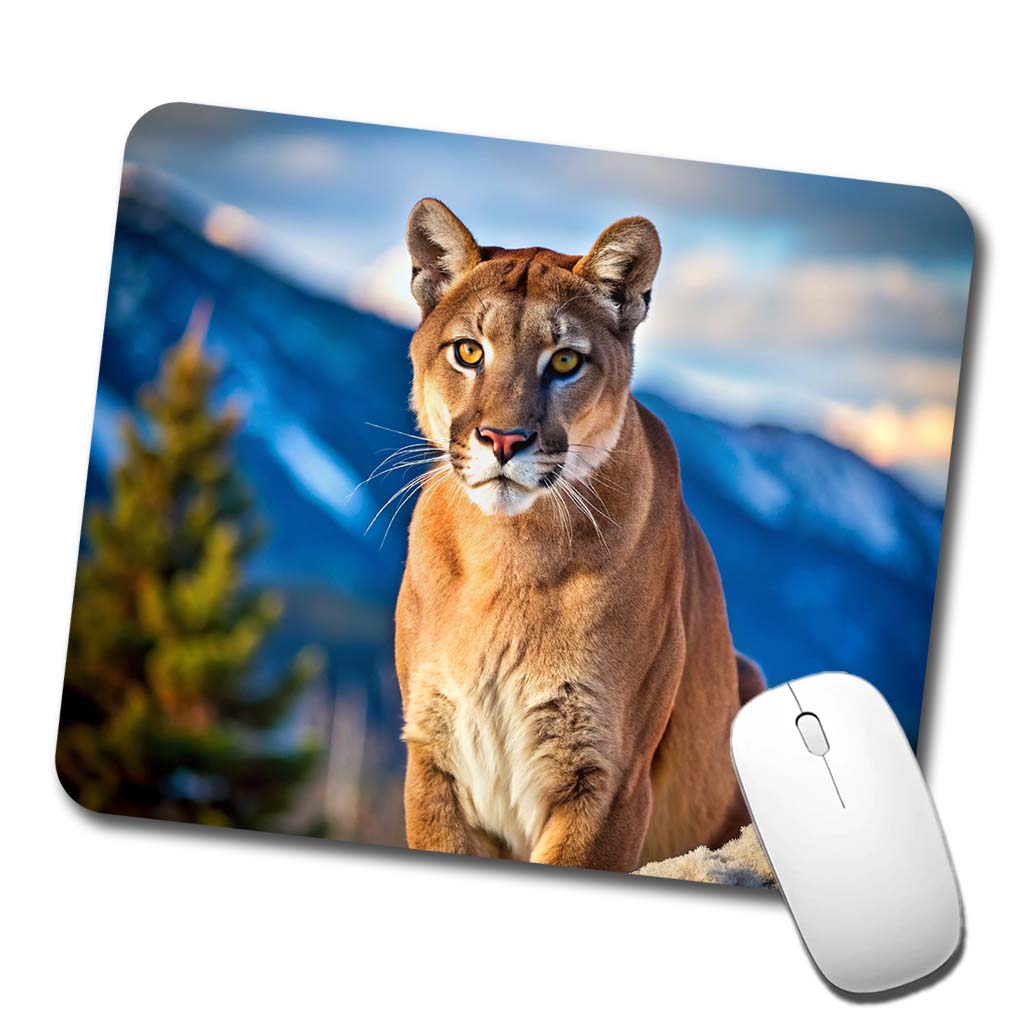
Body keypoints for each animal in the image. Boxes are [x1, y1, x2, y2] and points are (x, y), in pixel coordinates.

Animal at [392, 198, 765, 872]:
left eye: (565, 360)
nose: (504, 440)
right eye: (468, 352)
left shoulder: (606, 777)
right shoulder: (433, 756)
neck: (506, 555)